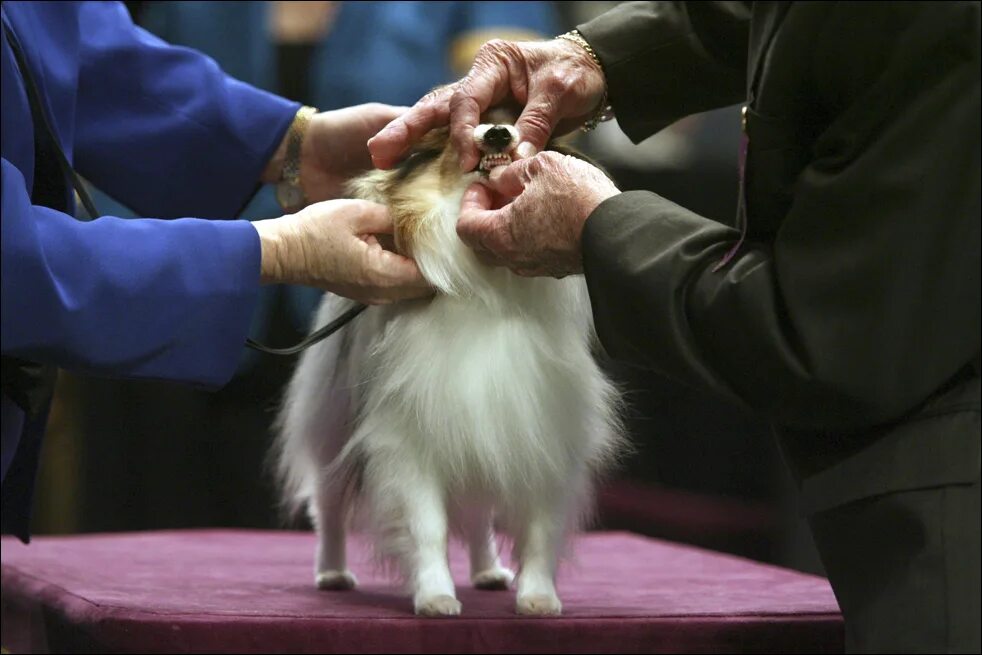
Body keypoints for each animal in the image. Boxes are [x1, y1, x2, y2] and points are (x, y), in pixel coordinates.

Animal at [272, 110, 628, 616]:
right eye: (469, 126)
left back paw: (488, 570)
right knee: (330, 505)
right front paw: (435, 596)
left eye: (516, 121)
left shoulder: (544, 438)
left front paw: (539, 598)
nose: (497, 133)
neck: (488, 287)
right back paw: (333, 572)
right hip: (333, 423)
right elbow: (428, 527)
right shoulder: (408, 440)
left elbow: (540, 530)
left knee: (478, 517)